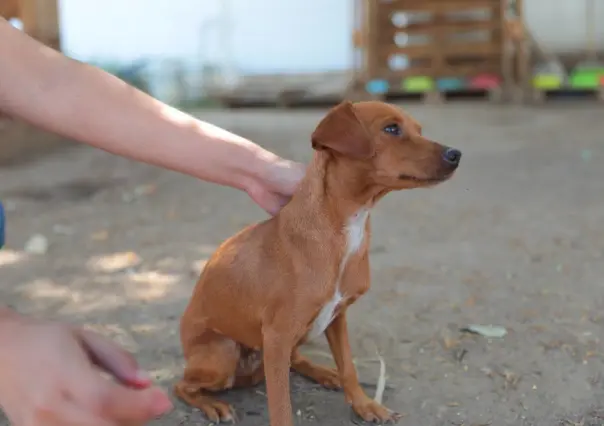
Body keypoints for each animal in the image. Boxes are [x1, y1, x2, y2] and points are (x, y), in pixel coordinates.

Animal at [175, 101, 462, 424]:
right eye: (391, 128)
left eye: (419, 130)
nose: (456, 154)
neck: (344, 230)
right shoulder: (277, 336)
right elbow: (281, 407)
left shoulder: (337, 317)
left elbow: (349, 367)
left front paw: (364, 404)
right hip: (223, 353)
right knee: (181, 385)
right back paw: (212, 404)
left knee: (295, 359)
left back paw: (324, 372)